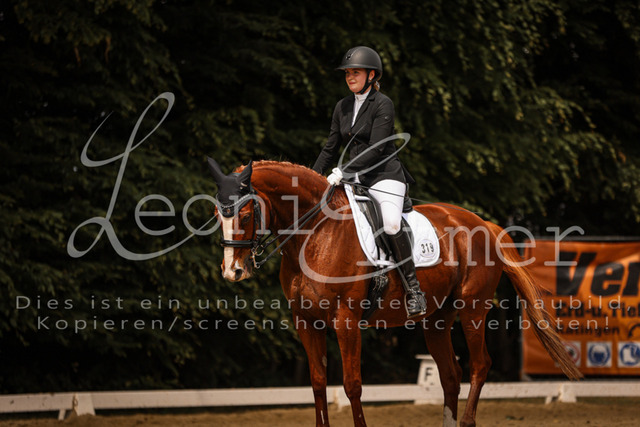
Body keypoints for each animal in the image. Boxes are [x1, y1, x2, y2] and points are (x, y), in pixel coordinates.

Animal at [206, 158, 582, 427]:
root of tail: (482, 224)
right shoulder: (306, 322)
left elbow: (352, 384)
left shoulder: (346, 321)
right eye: (216, 215)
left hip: (472, 309)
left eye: (245, 214)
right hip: (436, 320)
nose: (232, 270)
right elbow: (317, 382)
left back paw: (467, 421)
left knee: (479, 365)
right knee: (450, 375)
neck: (314, 233)